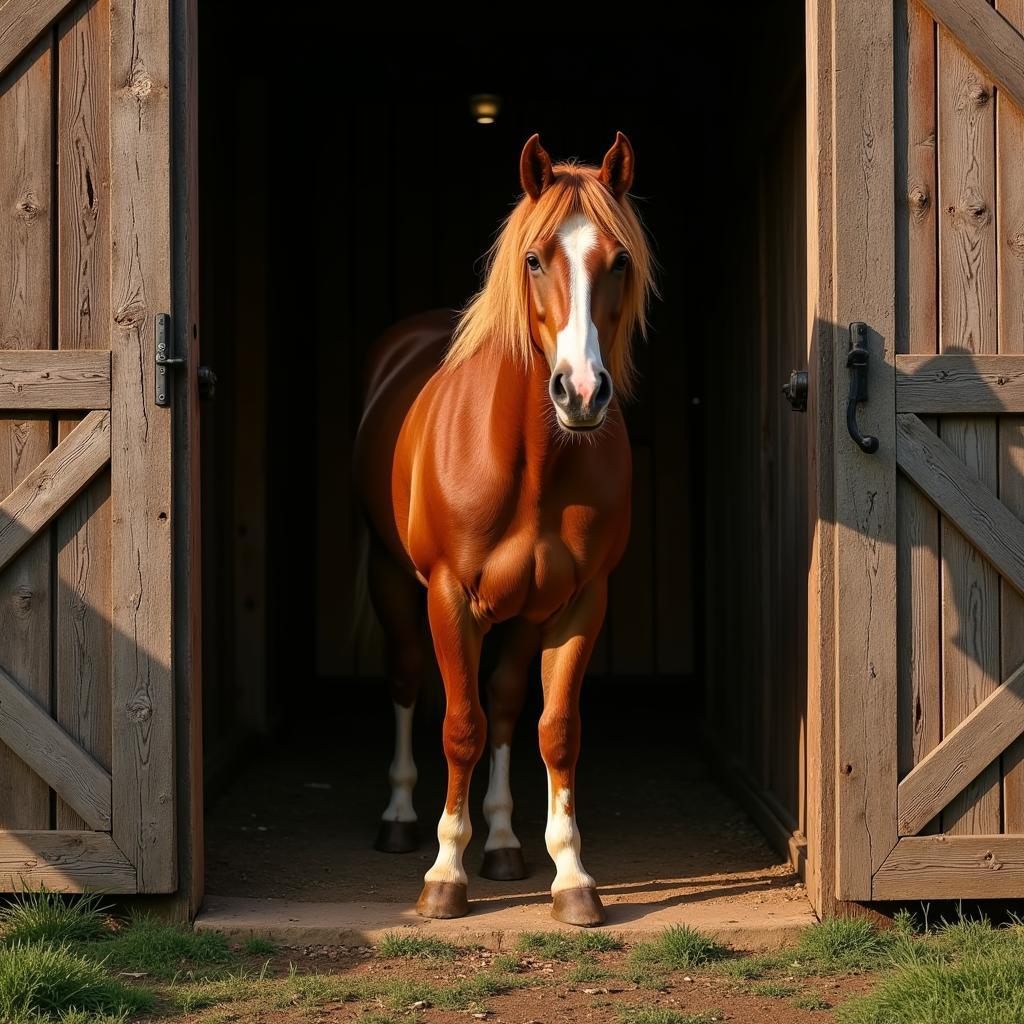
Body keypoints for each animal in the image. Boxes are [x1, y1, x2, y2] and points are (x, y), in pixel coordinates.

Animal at [352, 130, 655, 929]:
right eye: (534, 258)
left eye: (619, 260)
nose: (581, 392)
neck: (533, 462)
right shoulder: (449, 598)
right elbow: (460, 726)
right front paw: (443, 875)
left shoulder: (578, 603)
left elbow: (552, 729)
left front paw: (571, 876)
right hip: (393, 580)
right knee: (407, 679)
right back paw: (400, 819)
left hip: (522, 612)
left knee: (508, 705)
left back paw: (503, 842)